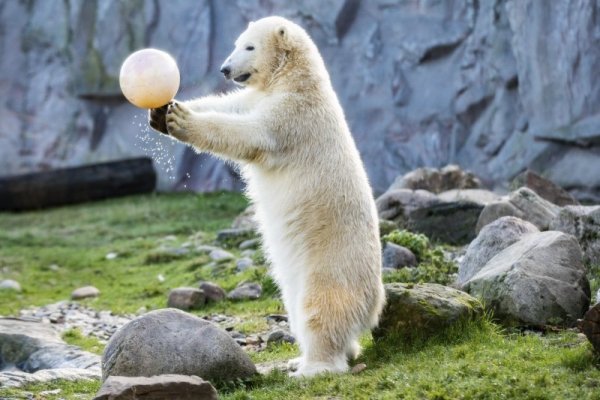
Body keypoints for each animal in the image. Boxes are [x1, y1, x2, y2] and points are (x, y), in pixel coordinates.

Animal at [150, 16, 384, 378]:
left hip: (331, 266)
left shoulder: (293, 115)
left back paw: (312, 368)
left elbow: (251, 133)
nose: (225, 68)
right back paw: (303, 358)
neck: (296, 80)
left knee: (320, 310)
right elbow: (231, 103)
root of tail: (374, 306)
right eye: (237, 42)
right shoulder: (260, 97)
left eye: (249, 47)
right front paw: (163, 113)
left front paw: (182, 119)